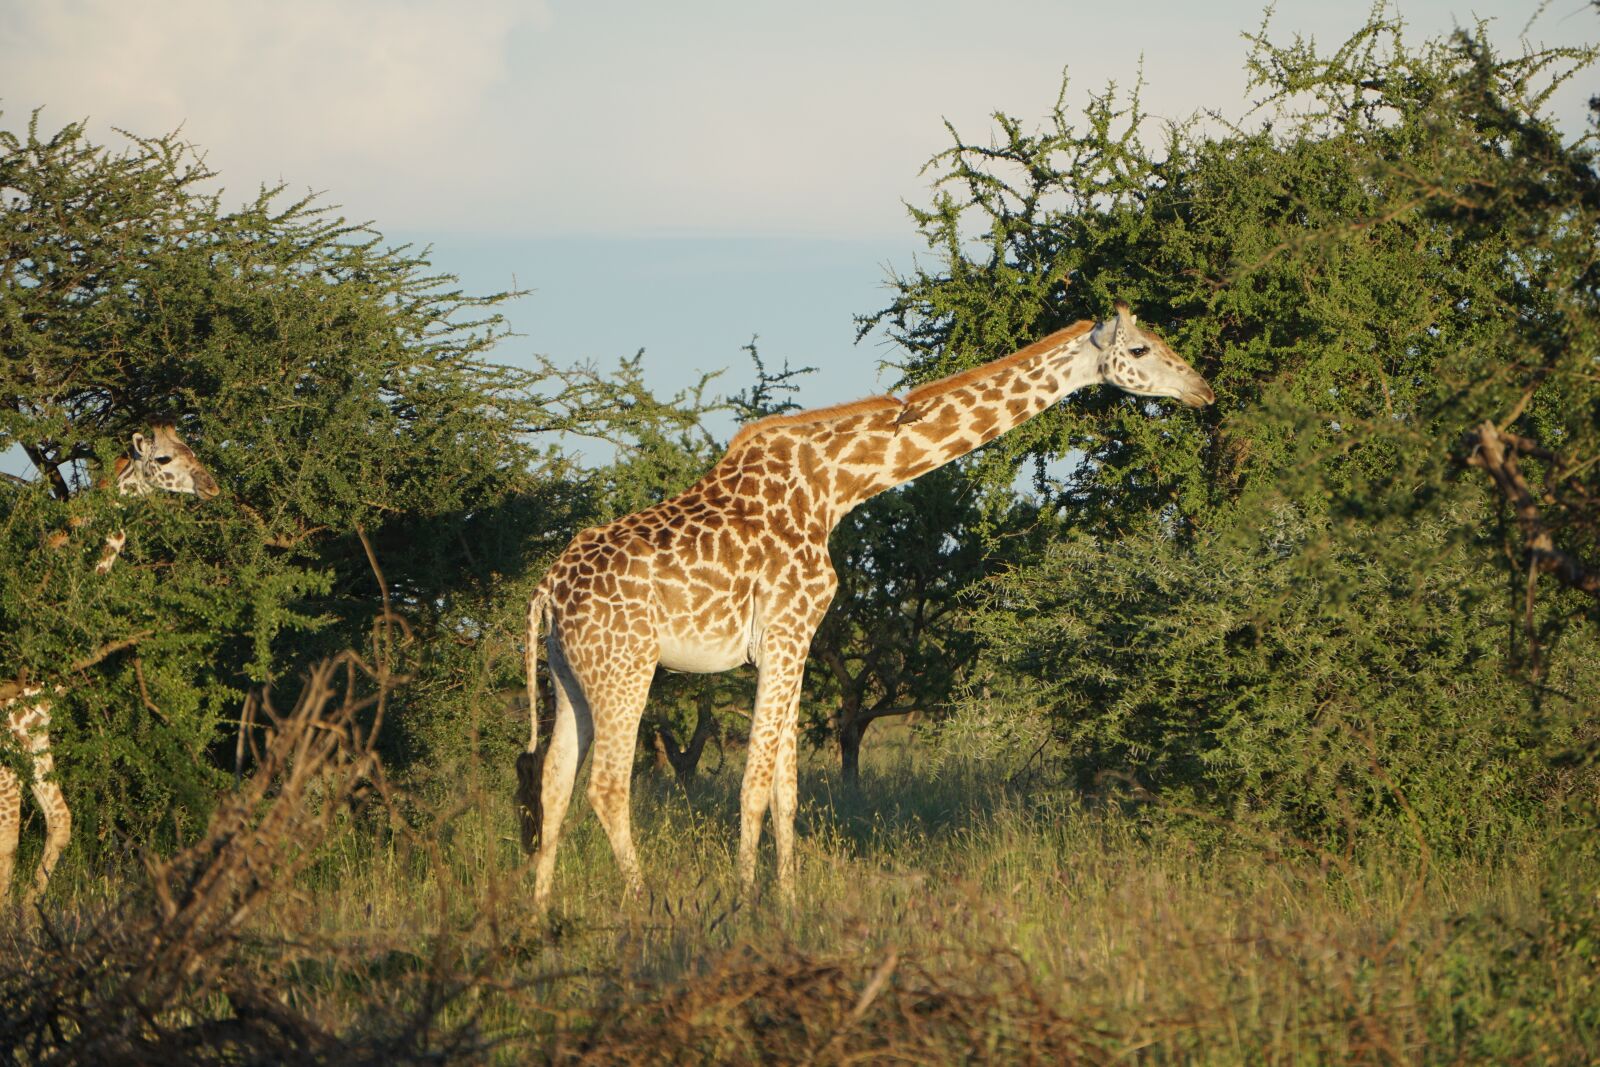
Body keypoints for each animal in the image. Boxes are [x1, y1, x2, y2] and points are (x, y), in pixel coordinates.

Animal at [1, 423, 219, 904]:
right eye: (163, 459)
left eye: (192, 449)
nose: (211, 485)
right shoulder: (8, 728)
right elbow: (8, 836)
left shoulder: (34, 727)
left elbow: (58, 821)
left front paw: (28, 909)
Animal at [515, 302, 1213, 909]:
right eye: (1141, 349)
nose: (1203, 390)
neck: (836, 488)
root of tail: (546, 592)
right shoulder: (786, 630)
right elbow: (755, 783)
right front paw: (743, 903)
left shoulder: (793, 642)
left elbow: (787, 790)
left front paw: (788, 902)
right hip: (627, 667)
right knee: (607, 786)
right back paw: (643, 903)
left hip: (572, 674)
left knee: (553, 782)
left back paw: (541, 913)